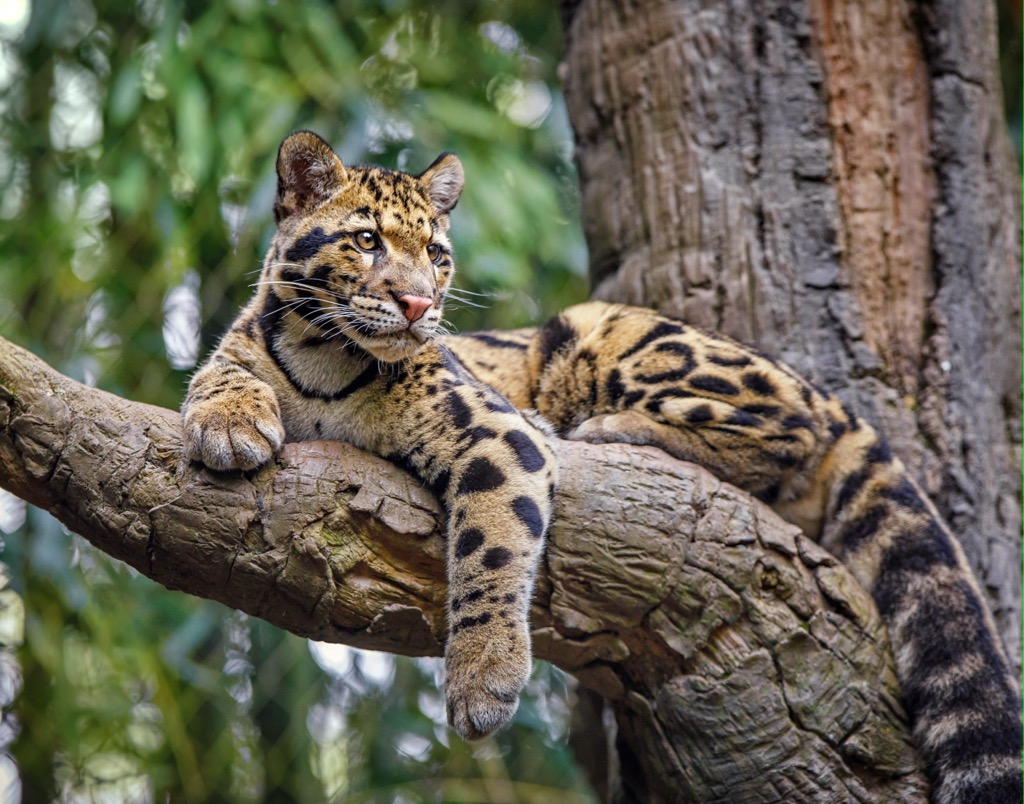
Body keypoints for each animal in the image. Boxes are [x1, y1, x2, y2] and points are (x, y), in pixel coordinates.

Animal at [183, 131, 1021, 803]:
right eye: (364, 241)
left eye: (438, 256)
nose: (420, 305)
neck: (325, 356)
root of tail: (825, 390)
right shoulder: (245, 346)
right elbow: (217, 372)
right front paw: (229, 423)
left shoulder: (496, 431)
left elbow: (491, 549)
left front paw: (482, 678)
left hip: (612, 333)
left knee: (790, 429)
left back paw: (609, 427)